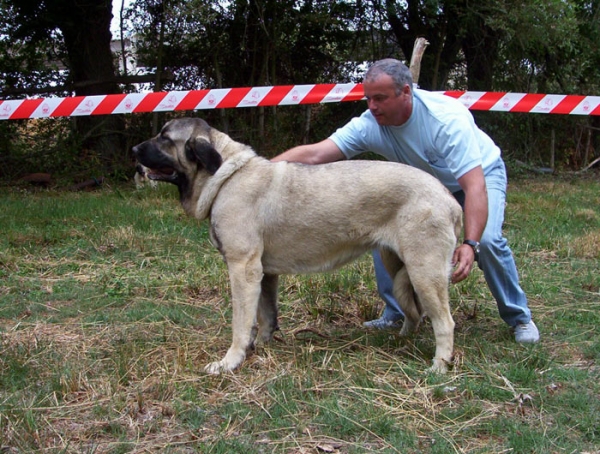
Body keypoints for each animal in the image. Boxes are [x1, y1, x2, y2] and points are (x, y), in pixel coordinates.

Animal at [134, 119, 464, 374]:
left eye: (164, 137)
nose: (135, 150)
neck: (225, 177)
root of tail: (447, 197)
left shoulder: (242, 269)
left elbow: (241, 322)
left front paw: (230, 361)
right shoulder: (264, 274)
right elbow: (266, 316)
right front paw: (262, 346)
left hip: (424, 272)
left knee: (445, 322)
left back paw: (439, 366)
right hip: (398, 269)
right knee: (415, 313)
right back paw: (403, 339)